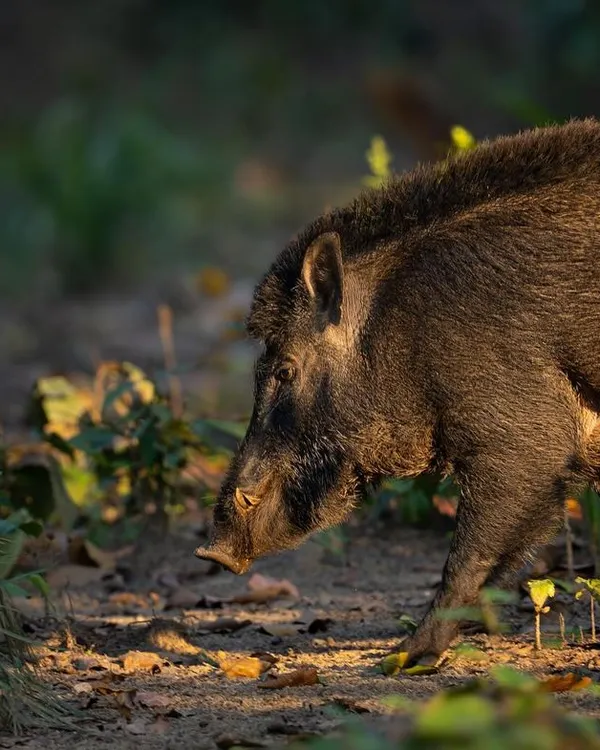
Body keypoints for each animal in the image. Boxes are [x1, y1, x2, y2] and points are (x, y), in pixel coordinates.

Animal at [196, 118, 600, 666]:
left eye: (284, 370)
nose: (210, 550)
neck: (399, 333)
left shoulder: (523, 440)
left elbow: (468, 556)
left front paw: (402, 658)